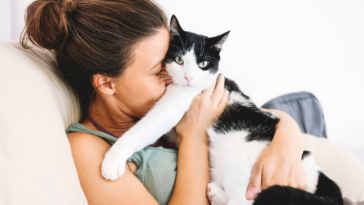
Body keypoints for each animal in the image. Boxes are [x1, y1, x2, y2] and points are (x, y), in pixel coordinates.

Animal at [102, 15, 344, 205]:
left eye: (203, 64)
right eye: (179, 59)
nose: (188, 78)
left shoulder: (172, 106)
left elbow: (143, 129)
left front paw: (112, 160)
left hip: (242, 167)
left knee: (242, 202)